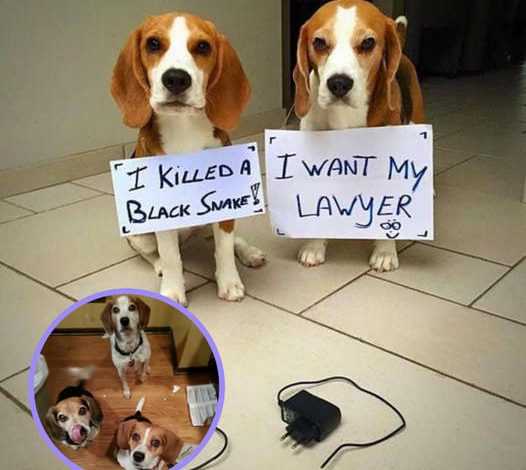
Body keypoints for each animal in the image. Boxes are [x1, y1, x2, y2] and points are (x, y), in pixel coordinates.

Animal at [111, 12, 268, 306]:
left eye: (203, 47)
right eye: (153, 43)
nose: (176, 79)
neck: (185, 131)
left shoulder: (225, 207)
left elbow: (224, 249)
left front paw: (229, 282)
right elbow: (171, 257)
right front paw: (173, 293)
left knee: (230, 240)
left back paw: (249, 252)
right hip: (139, 236)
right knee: (153, 252)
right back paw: (159, 265)